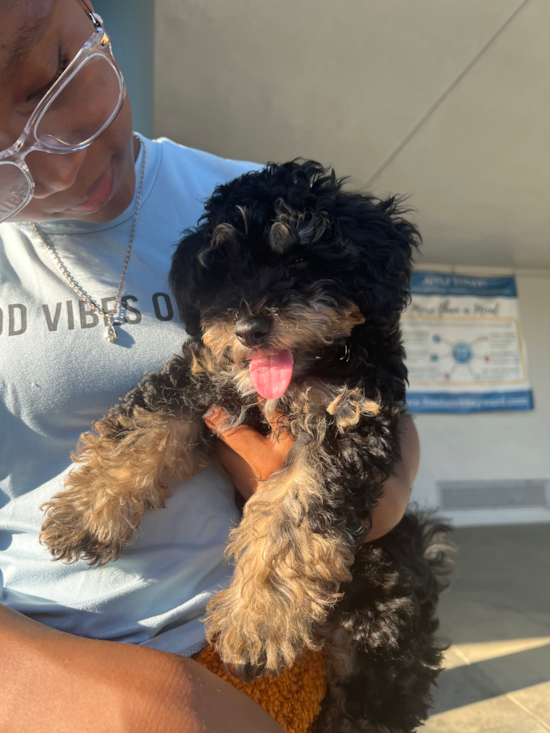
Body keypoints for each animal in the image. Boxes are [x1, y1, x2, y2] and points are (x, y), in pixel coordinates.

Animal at [41, 162, 450, 732]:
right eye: (225, 271)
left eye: (300, 260)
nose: (250, 328)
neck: (300, 373)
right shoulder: (205, 375)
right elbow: (145, 424)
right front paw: (85, 513)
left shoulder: (346, 423)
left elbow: (289, 520)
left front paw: (257, 622)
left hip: (382, 637)